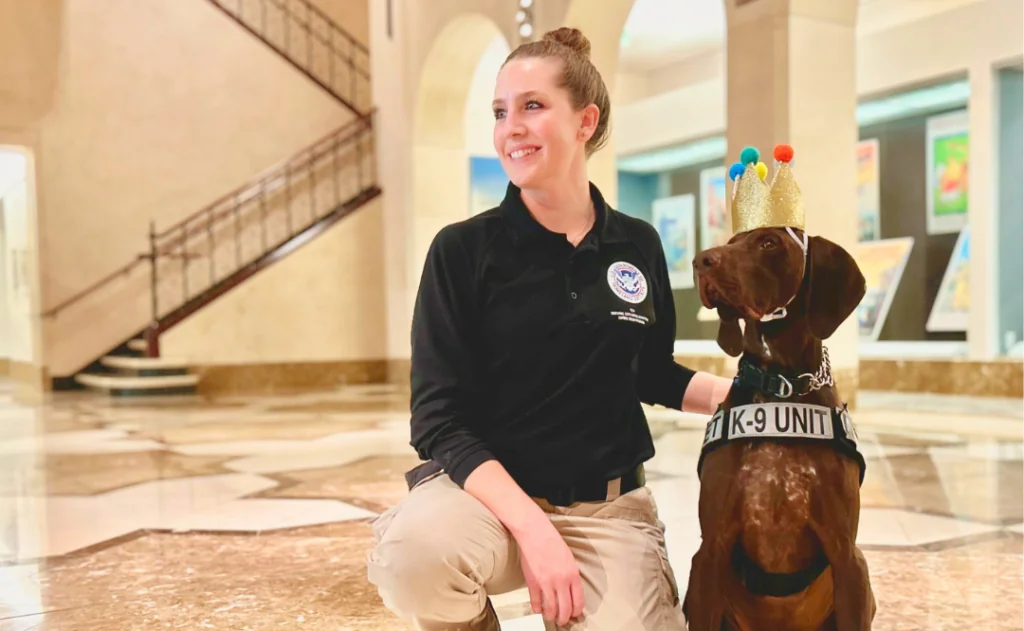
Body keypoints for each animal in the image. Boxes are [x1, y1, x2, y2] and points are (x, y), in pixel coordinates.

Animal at [684, 226, 876, 631]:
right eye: (730, 242)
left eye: (769, 242)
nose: (701, 261)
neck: (781, 386)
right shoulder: (710, 553)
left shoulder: (846, 556)